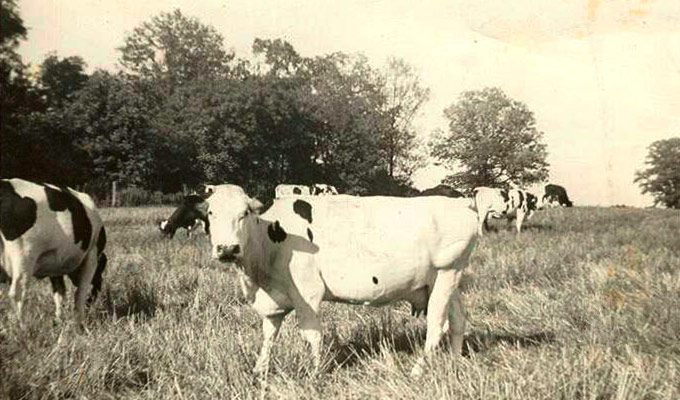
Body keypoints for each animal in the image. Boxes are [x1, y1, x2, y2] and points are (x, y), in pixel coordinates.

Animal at [0, 178, 107, 324]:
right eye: (102, 269)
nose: (100, 285)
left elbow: (59, 293)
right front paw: (80, 324)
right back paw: (21, 326)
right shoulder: (92, 255)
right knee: (18, 292)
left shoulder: (55, 264)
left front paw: (59, 321)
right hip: (24, 255)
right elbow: (80, 293)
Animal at [202, 184, 478, 376]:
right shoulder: (273, 299)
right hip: (445, 279)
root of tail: (461, 203)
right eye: (210, 213)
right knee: (458, 320)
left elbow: (311, 334)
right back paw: (454, 363)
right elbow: (269, 334)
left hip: (446, 271)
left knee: (437, 325)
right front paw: (259, 370)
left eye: (245, 213)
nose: (228, 248)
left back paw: (418, 371)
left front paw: (314, 373)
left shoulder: (307, 292)